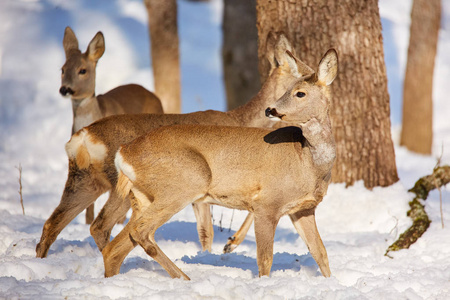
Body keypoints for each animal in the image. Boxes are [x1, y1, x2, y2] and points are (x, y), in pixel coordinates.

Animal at [106, 48, 338, 280]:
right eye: (288, 89)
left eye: (300, 93)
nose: (270, 110)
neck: (307, 162)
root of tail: (124, 152)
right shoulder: (266, 204)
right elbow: (265, 259)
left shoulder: (303, 209)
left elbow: (321, 252)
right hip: (184, 183)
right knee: (140, 232)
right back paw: (184, 278)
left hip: (143, 197)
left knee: (114, 248)